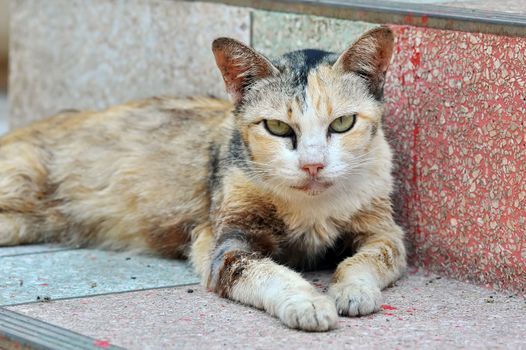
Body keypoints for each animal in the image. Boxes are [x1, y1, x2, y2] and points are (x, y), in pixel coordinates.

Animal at [0, 26, 408, 330]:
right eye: (277, 127)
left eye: (343, 123)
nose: (312, 165)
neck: (311, 208)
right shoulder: (225, 245)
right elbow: (267, 272)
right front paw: (307, 302)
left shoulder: (385, 231)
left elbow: (370, 259)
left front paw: (353, 291)